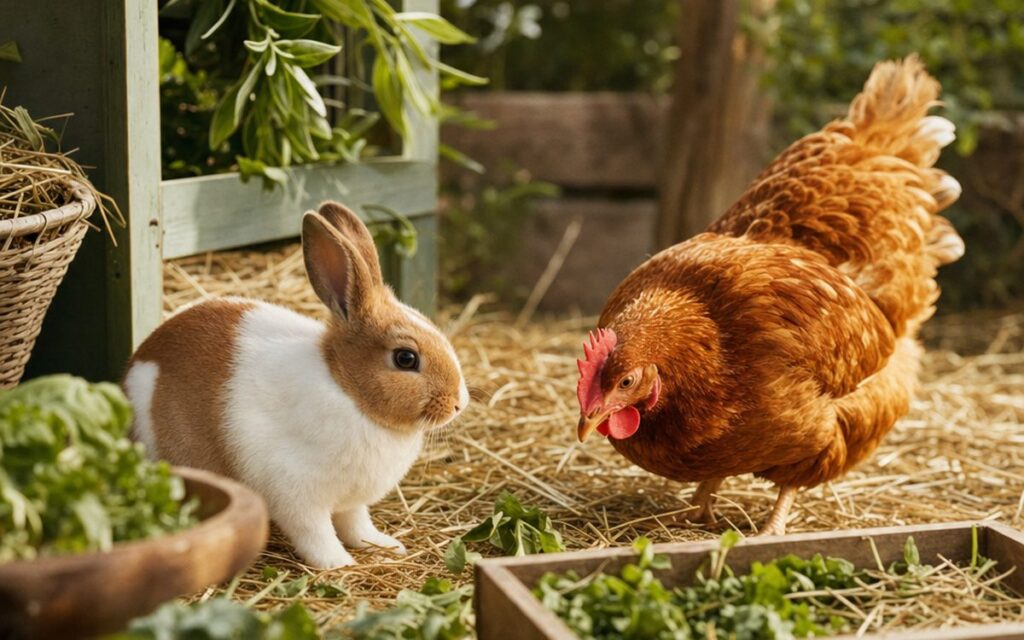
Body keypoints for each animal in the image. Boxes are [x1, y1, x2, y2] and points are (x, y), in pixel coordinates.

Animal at [123, 202, 469, 568]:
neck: (347, 391)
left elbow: (356, 523)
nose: (459, 402)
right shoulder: (296, 494)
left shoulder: (352, 502)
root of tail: (131, 370)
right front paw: (340, 564)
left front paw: (384, 545)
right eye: (405, 358)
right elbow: (316, 535)